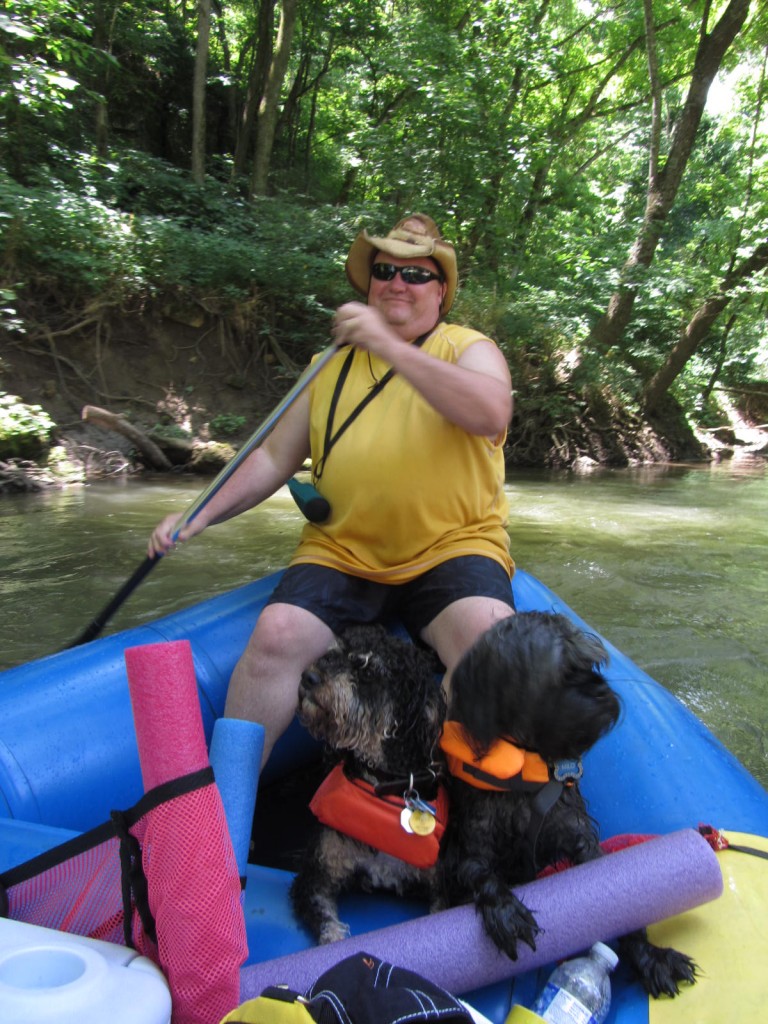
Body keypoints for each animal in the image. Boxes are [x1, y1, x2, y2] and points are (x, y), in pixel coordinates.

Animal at [290, 622, 448, 942]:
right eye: (332, 654)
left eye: (367, 670)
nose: (309, 676)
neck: (380, 783)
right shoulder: (314, 875)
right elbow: (328, 927)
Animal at [438, 610, 696, 995]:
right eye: (562, 673)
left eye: (590, 665)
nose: (603, 692)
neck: (526, 771)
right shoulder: (471, 842)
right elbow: (479, 871)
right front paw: (505, 910)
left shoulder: (577, 835)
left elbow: (620, 901)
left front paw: (651, 956)